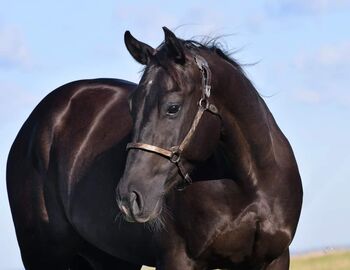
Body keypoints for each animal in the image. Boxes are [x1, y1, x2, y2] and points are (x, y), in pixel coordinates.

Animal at [118, 28, 304, 268]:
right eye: (131, 106)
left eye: (173, 108)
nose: (128, 198)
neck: (253, 185)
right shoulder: (178, 259)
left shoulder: (276, 258)